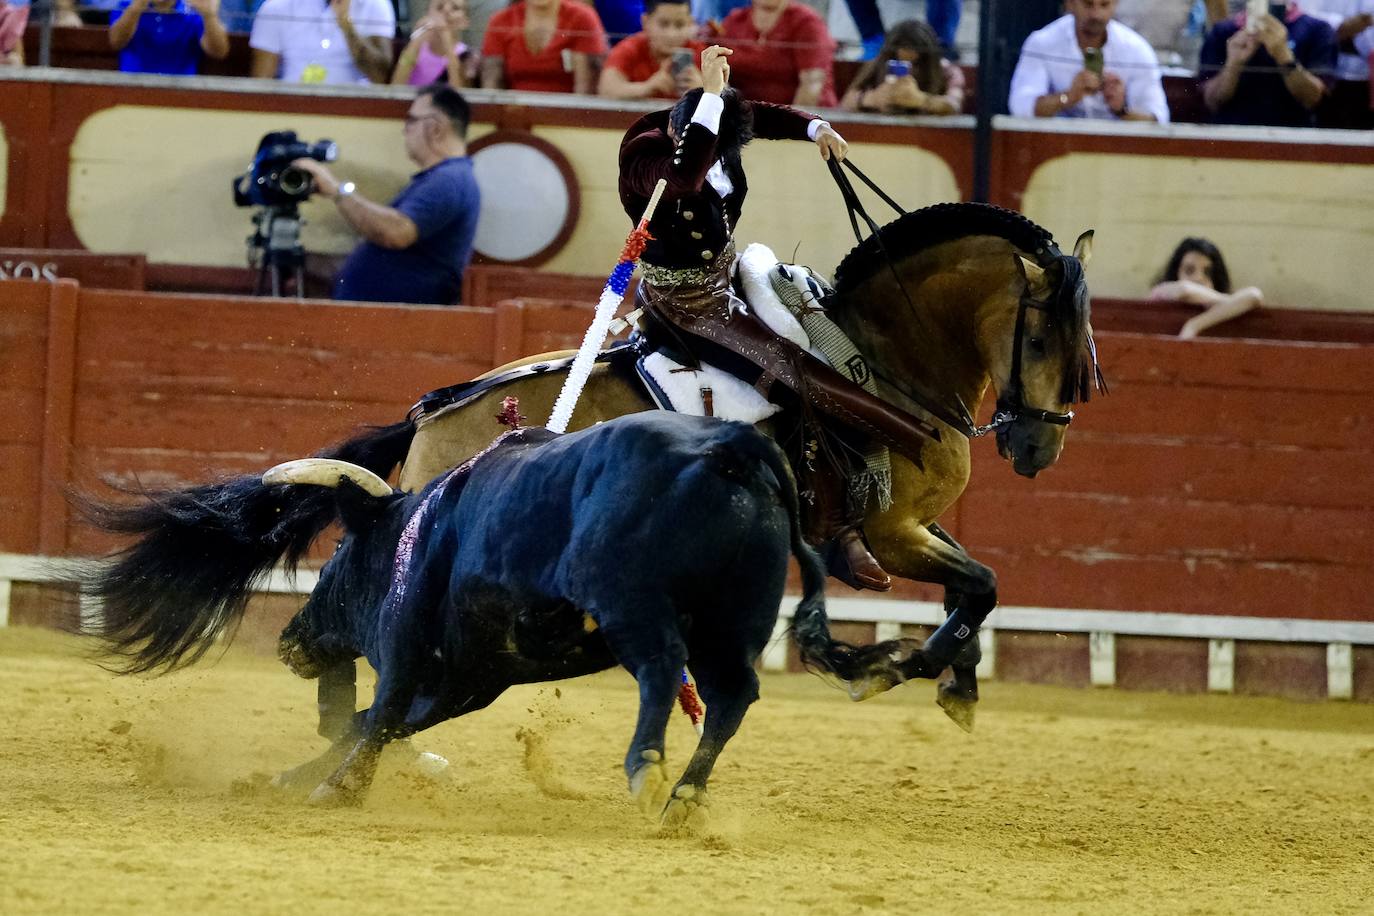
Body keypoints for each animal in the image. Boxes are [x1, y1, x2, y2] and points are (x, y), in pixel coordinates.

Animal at [83, 414, 901, 818]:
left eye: (339, 555)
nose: (291, 640)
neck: (424, 524)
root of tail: (734, 443)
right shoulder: (471, 677)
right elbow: (377, 723)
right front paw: (298, 777)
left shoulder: (410, 645)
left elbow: (379, 713)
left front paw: (337, 789)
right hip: (733, 623)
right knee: (732, 696)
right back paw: (685, 798)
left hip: (633, 603)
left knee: (663, 671)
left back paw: (647, 770)